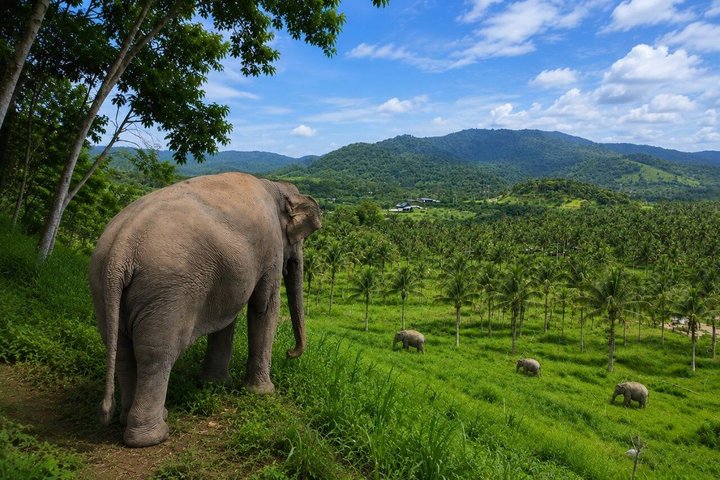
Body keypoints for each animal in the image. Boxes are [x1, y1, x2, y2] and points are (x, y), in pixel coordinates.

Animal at [90, 172, 321, 448]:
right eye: (300, 239)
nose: (290, 352)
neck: (275, 185)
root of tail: (121, 248)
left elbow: (227, 318)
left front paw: (215, 384)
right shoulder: (270, 248)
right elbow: (264, 307)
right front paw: (263, 393)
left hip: (103, 288)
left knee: (122, 350)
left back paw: (130, 418)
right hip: (167, 293)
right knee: (155, 355)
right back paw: (153, 436)